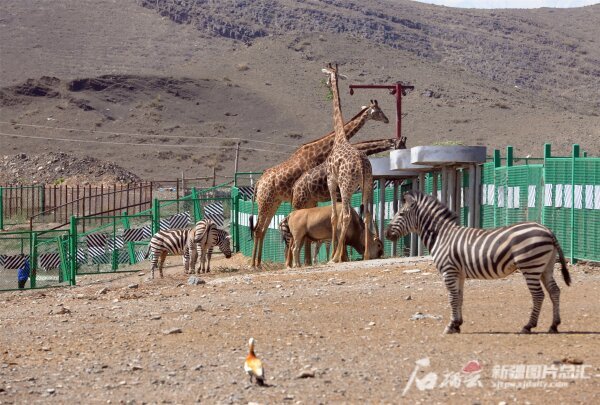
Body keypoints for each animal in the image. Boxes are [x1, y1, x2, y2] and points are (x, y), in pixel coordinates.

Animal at [248, 100, 390, 266]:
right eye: (378, 111)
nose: (387, 119)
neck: (320, 152)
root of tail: (258, 182)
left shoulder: (315, 199)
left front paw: (313, 260)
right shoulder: (327, 194)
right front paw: (334, 257)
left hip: (273, 203)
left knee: (263, 229)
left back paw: (260, 262)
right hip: (268, 201)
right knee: (260, 229)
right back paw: (256, 264)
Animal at [288, 136, 406, 266]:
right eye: (402, 146)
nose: (379, 255)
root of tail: (294, 187)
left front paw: (341, 256)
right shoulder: (340, 193)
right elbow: (341, 218)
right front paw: (340, 256)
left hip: (309, 203)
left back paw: (304, 262)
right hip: (300, 203)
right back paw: (291, 263)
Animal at [324, 61, 376, 260]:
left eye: (327, 75)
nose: (326, 84)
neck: (340, 137)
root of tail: (361, 164)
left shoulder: (332, 181)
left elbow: (334, 216)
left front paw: (335, 256)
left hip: (347, 186)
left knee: (346, 215)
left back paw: (335, 258)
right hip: (367, 184)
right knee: (368, 214)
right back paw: (367, 254)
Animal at [384, 191, 572, 332]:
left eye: (401, 214)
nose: (386, 234)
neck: (442, 236)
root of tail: (548, 230)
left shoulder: (448, 271)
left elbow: (452, 298)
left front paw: (451, 326)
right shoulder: (458, 273)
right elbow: (459, 297)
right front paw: (457, 324)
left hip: (530, 266)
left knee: (539, 295)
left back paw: (528, 326)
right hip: (545, 267)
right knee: (555, 291)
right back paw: (554, 325)